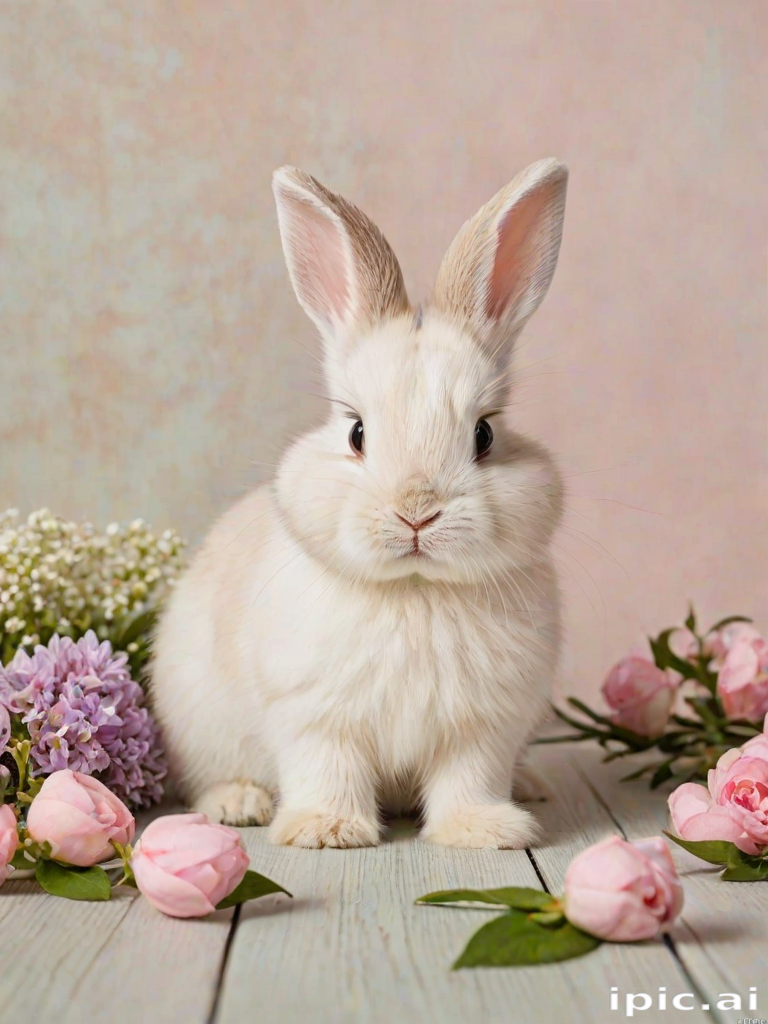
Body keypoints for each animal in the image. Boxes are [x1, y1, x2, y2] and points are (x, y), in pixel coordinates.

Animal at [151, 157, 568, 849]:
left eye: (484, 434)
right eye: (356, 433)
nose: (417, 511)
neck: (415, 591)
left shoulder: (482, 728)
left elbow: (469, 779)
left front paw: (485, 831)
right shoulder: (315, 716)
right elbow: (328, 768)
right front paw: (326, 831)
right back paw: (238, 804)